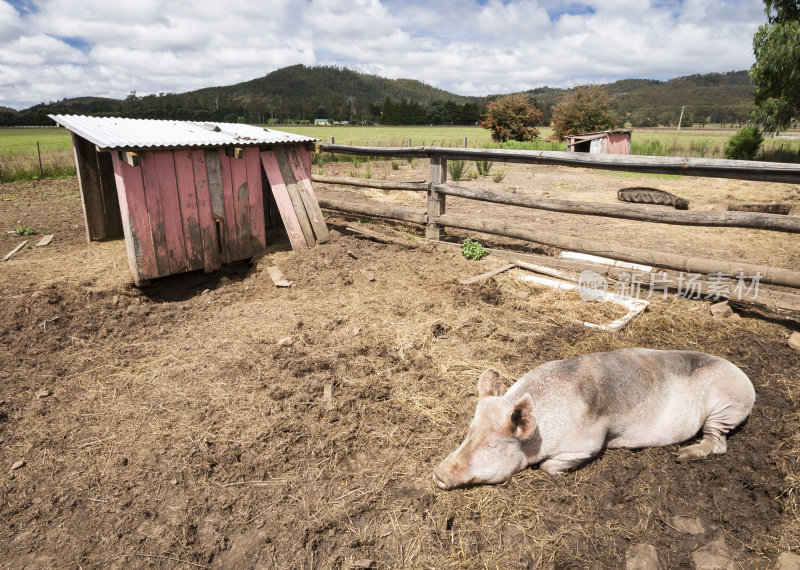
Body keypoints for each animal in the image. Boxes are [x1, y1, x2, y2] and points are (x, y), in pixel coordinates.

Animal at [434, 346, 752, 488]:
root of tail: (747, 381)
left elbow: (548, 466)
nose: (437, 473)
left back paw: (683, 456)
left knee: (719, 443)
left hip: (725, 407)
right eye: (469, 432)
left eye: (492, 445)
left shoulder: (589, 442)